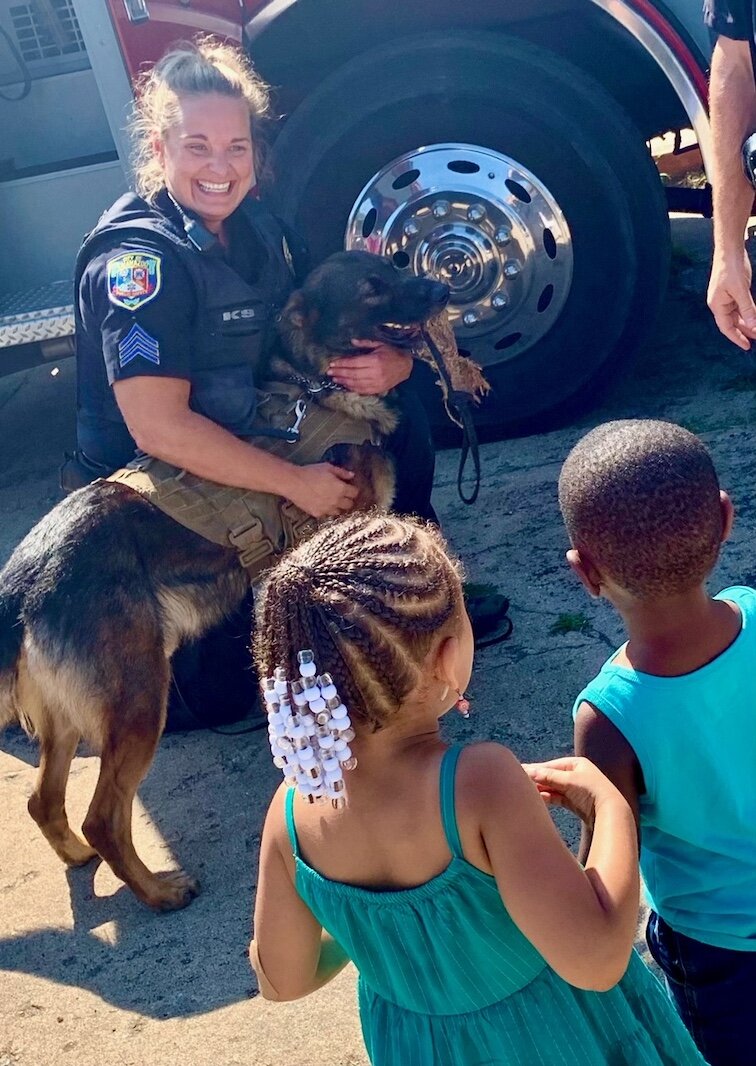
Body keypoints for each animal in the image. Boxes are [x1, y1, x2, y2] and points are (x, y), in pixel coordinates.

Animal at [0, 247, 447, 908]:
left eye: (394, 266)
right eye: (372, 288)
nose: (440, 287)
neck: (315, 388)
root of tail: (25, 577)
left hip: (66, 720)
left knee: (42, 801)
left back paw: (79, 858)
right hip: (139, 698)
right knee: (102, 815)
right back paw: (158, 892)